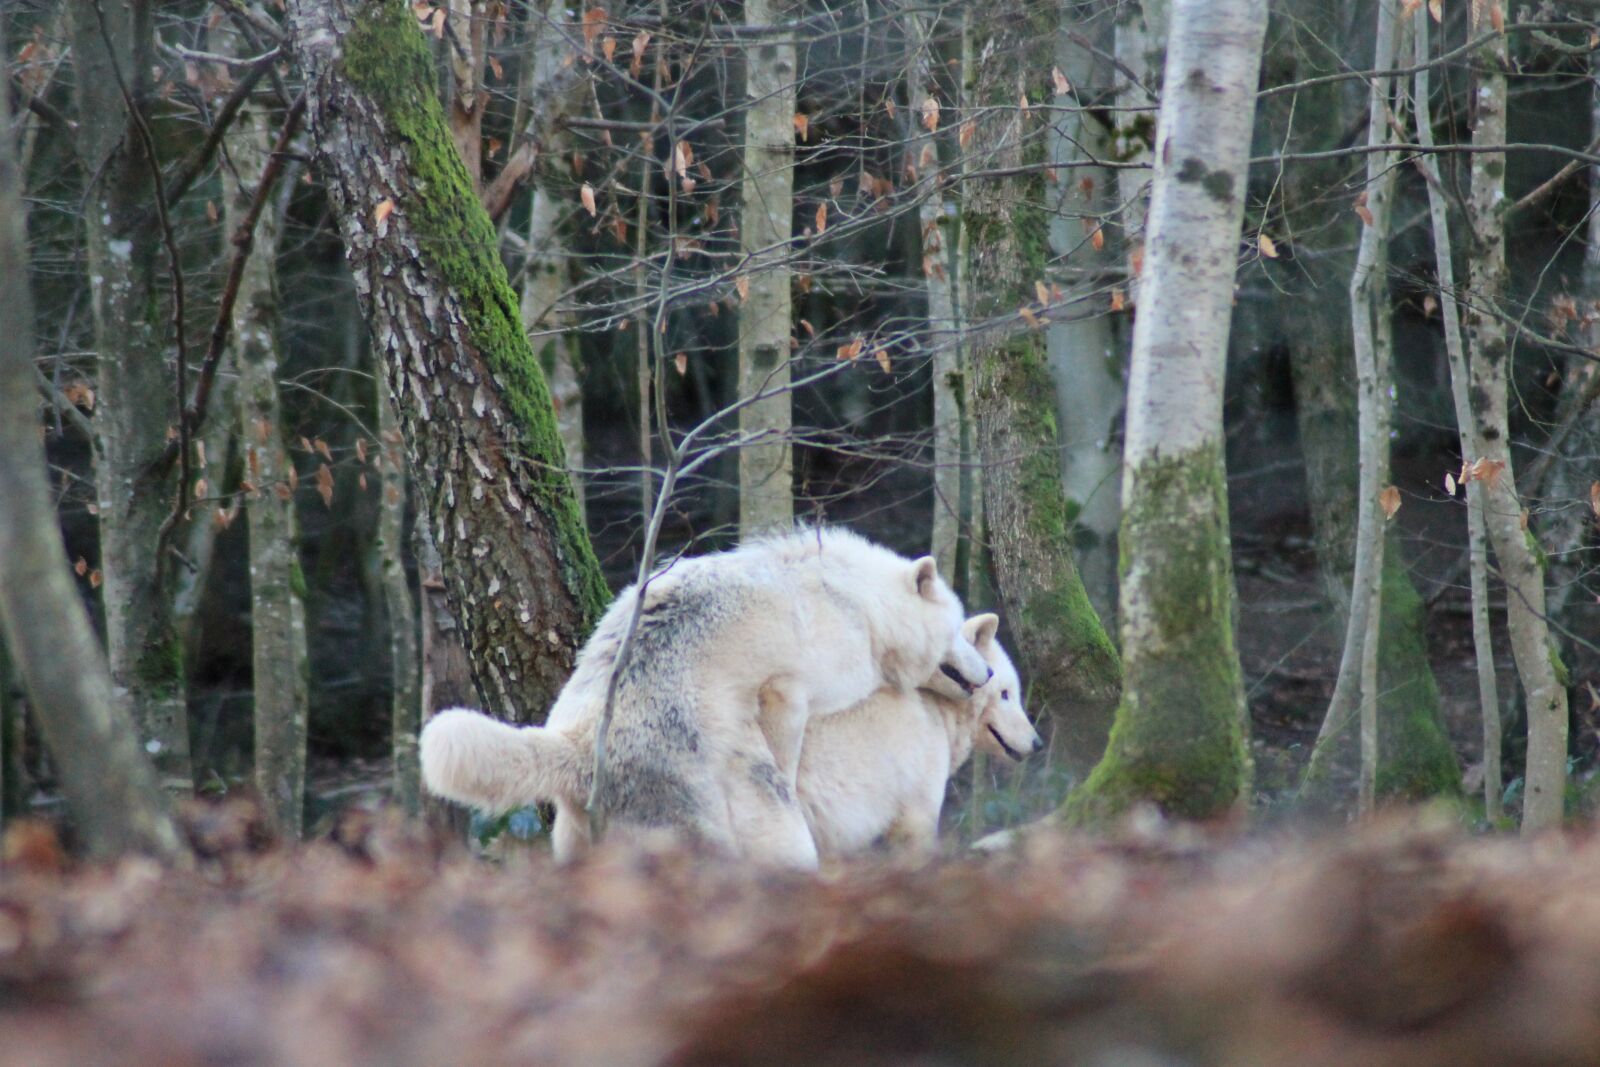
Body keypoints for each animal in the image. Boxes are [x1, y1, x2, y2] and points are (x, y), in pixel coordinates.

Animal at [420, 527, 990, 867]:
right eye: (959, 629)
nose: (985, 673)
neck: (859, 603)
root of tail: (577, 744)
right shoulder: (789, 689)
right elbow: (788, 749)